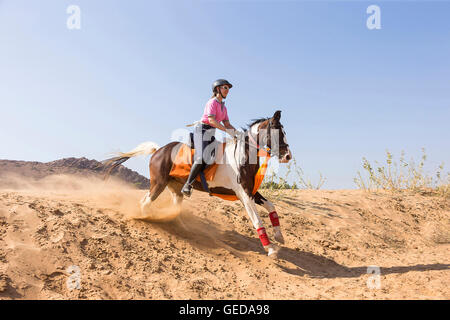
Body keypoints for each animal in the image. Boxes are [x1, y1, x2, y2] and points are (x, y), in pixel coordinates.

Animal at [103, 110, 292, 258]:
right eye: (279, 132)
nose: (288, 156)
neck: (242, 155)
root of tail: (158, 151)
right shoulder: (244, 195)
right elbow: (258, 221)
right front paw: (270, 249)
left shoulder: (251, 191)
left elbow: (271, 207)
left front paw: (279, 236)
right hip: (159, 183)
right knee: (146, 202)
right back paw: (146, 218)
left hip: (175, 188)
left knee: (170, 207)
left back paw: (181, 226)